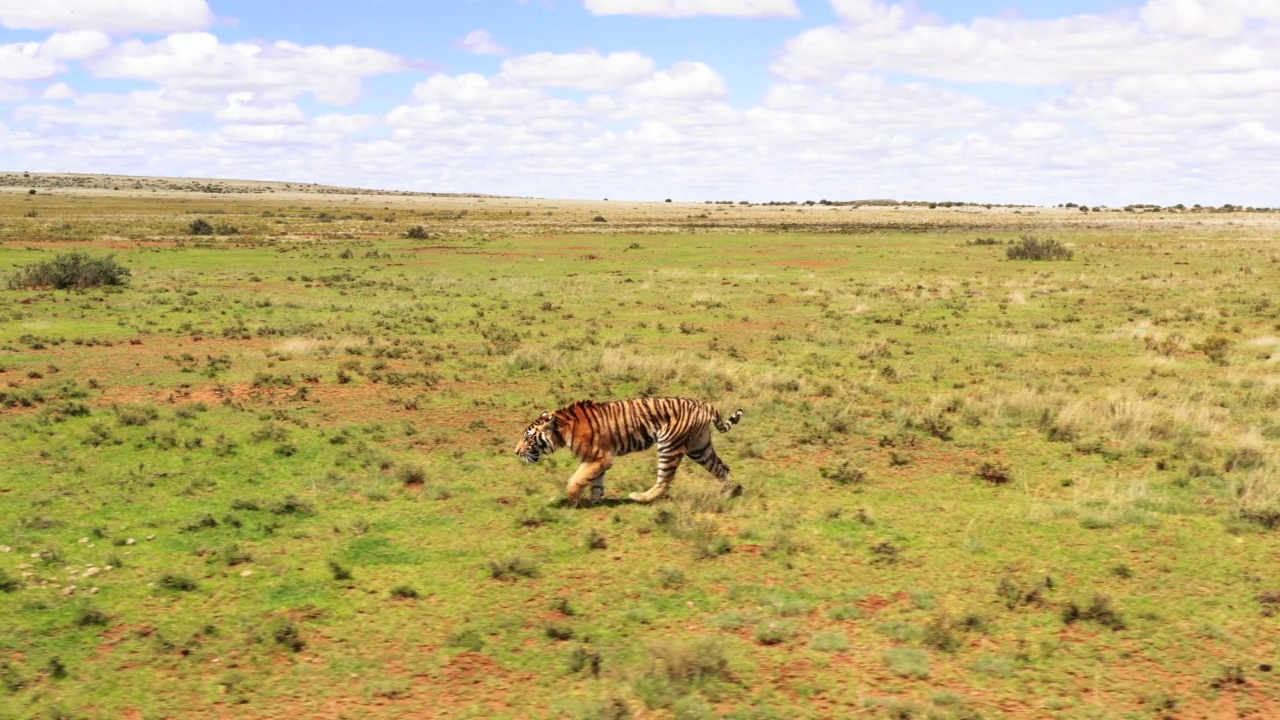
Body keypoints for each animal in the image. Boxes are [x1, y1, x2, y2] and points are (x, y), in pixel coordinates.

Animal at [514, 394, 747, 502]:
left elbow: (576, 479)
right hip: (699, 449)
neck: (563, 429)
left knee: (664, 481)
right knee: (722, 468)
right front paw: (594, 501)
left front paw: (573, 499)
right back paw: (726, 494)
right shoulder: (597, 460)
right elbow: (596, 482)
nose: (516, 451)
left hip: (669, 446)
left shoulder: (599, 457)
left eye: (527, 437)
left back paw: (640, 497)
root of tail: (705, 405)